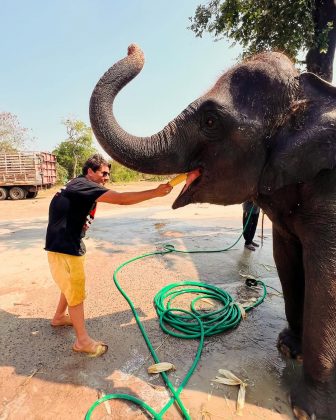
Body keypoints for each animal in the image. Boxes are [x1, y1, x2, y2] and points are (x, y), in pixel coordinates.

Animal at [89, 44, 336, 418]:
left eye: (210, 121)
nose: (133, 47)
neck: (308, 92)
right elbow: (286, 259)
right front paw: (288, 348)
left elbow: (327, 280)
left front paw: (308, 410)